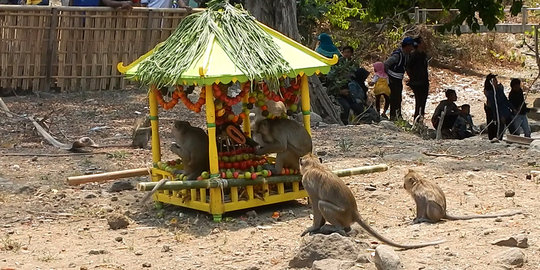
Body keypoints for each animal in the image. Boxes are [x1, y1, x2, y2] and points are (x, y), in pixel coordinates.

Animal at [298, 153, 446, 250]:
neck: (314, 165)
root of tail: (354, 212)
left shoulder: (307, 182)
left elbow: (315, 203)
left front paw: (314, 228)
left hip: (341, 215)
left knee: (321, 204)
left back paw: (337, 228)